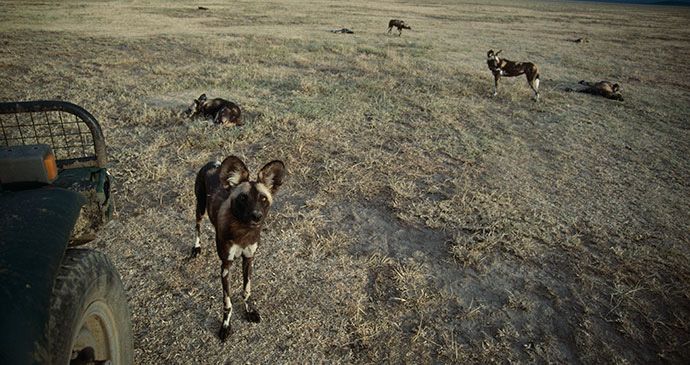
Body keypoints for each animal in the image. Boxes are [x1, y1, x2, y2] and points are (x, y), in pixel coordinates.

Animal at [189, 155, 284, 340]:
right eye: (243, 198)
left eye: (263, 198)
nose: (256, 216)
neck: (244, 232)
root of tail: (214, 163)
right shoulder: (226, 266)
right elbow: (227, 302)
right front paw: (225, 326)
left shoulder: (248, 260)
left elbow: (246, 291)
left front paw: (249, 311)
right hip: (200, 208)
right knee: (197, 226)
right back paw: (196, 247)